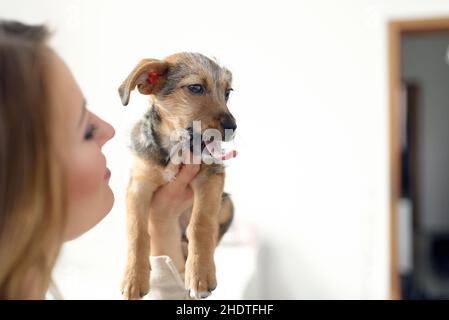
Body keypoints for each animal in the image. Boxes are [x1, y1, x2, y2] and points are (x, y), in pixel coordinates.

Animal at [119, 52, 238, 300]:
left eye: (227, 93)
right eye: (196, 87)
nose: (233, 127)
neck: (176, 147)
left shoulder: (211, 177)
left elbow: (200, 223)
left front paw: (200, 273)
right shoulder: (138, 186)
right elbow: (137, 231)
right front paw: (134, 277)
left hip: (228, 203)